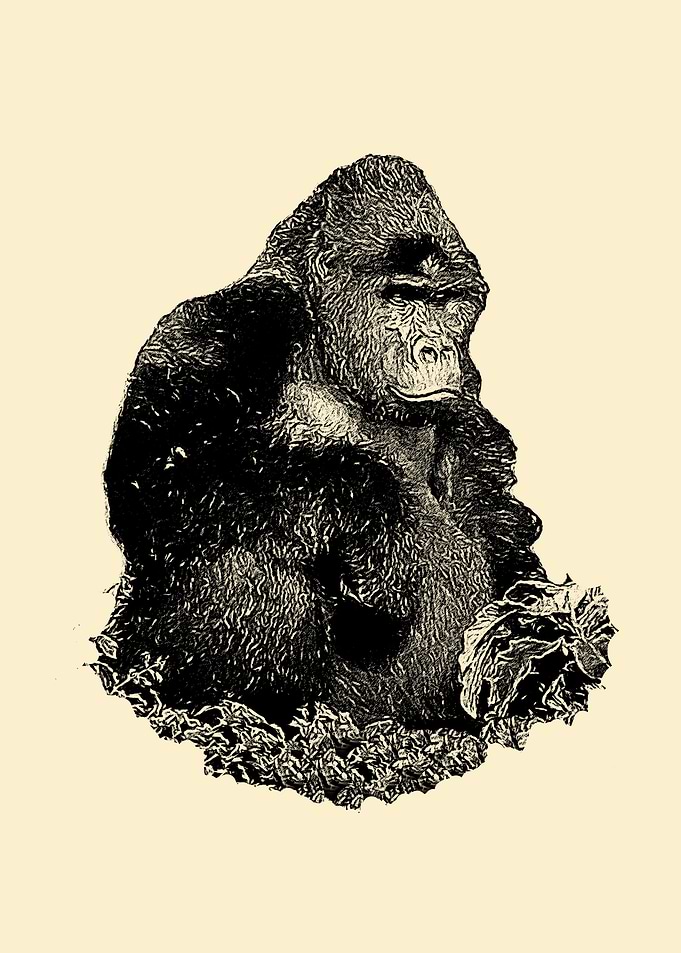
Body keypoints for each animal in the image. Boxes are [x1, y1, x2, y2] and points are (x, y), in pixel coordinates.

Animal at [103, 154, 543, 728]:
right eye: (405, 297)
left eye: (446, 301)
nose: (436, 348)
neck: (323, 339)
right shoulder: (236, 319)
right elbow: (158, 478)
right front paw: (372, 503)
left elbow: (495, 506)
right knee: (252, 540)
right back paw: (247, 709)